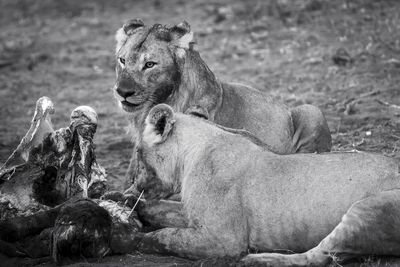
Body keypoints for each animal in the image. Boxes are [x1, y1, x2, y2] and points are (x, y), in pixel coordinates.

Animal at [130, 104, 400, 266]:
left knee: (317, 257)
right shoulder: (195, 216)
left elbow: (169, 236)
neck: (191, 154)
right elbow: (164, 211)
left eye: (138, 152)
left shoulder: (224, 239)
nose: (135, 183)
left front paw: (140, 239)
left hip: (369, 209)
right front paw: (134, 205)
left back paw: (259, 259)